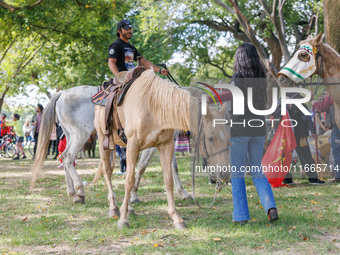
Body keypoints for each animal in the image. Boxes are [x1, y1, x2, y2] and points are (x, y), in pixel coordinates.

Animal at [94, 69, 230, 229]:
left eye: (228, 138)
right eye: (210, 138)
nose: (225, 175)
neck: (153, 106)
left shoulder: (166, 145)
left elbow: (168, 178)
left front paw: (176, 218)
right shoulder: (134, 145)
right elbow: (131, 178)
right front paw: (123, 219)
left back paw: (128, 208)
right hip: (103, 141)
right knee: (107, 172)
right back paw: (114, 207)